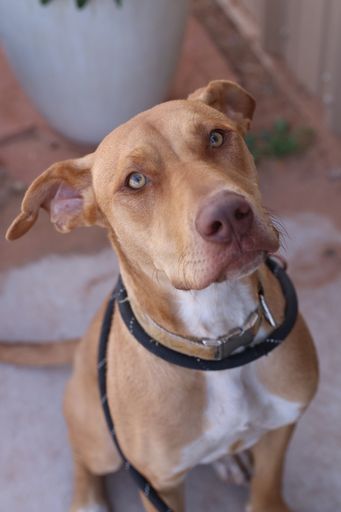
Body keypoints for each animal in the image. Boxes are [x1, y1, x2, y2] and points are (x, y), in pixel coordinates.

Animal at [3, 81, 318, 512]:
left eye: (216, 137)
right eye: (135, 181)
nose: (229, 215)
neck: (217, 337)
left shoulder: (281, 426)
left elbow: (266, 491)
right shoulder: (158, 484)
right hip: (101, 439)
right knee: (82, 453)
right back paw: (87, 499)